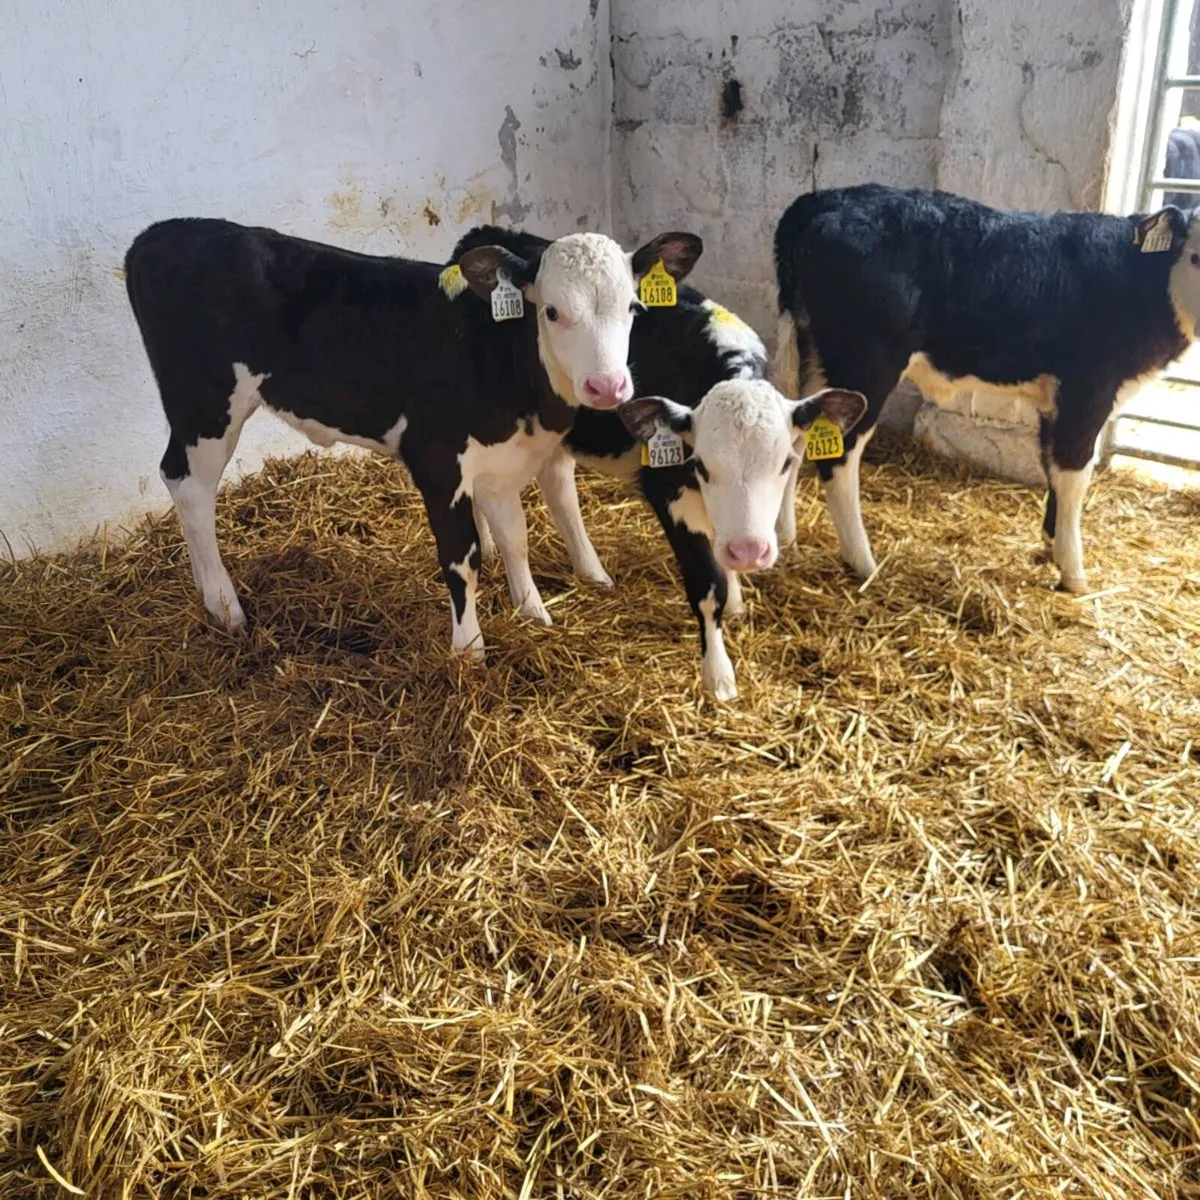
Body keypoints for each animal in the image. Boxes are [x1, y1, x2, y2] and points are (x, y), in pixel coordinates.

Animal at [123, 218, 702, 661]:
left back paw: (205, 589)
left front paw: (534, 613)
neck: (497, 352)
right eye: (552, 311)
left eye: (633, 308)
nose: (608, 386)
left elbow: (514, 537)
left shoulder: (500, 461)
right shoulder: (437, 459)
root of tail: (159, 234)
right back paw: (225, 606)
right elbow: (463, 555)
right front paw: (469, 650)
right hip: (206, 407)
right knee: (189, 487)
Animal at [449, 227, 866, 700]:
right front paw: (719, 675)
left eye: (786, 463)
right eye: (702, 465)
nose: (749, 552)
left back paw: (591, 571)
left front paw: (737, 599)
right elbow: (706, 586)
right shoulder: (668, 492)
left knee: (558, 486)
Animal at [773, 184, 1200, 595]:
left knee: (800, 431)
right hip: (866, 365)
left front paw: (1050, 545)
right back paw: (862, 562)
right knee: (838, 456)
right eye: (1195, 257)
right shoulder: (1089, 391)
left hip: (817, 357)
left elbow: (1050, 462)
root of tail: (824, 199)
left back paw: (785, 534)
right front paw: (1072, 572)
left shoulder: (1057, 399)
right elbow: (1074, 473)